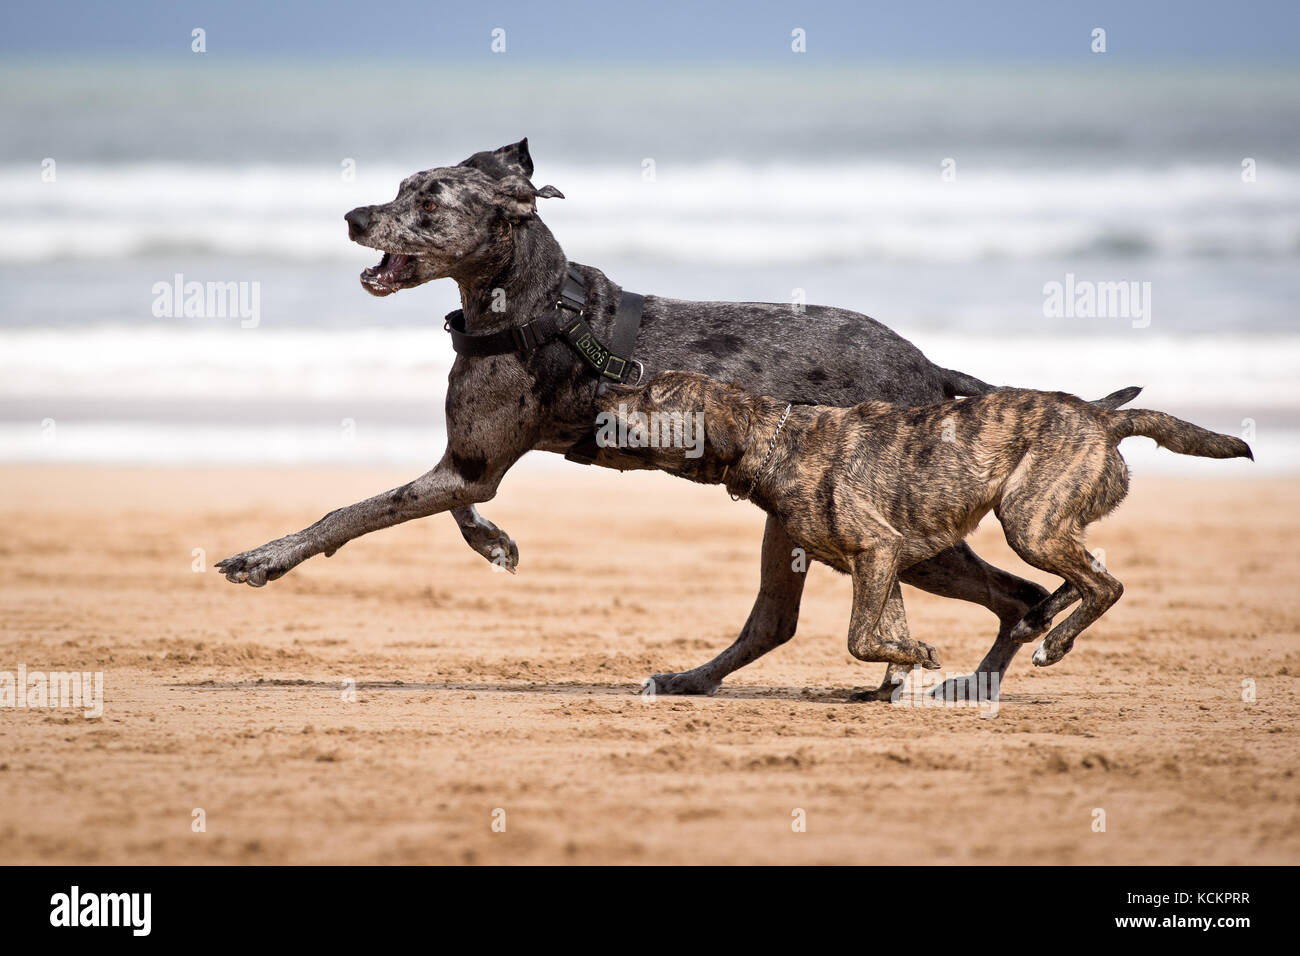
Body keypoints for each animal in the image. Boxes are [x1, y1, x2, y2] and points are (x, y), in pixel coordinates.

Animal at [215, 138, 1066, 697]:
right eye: (399, 187)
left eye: (428, 201)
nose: (354, 218)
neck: (532, 304)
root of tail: (932, 372)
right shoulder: (471, 464)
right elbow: (458, 509)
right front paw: (495, 543)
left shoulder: (467, 467)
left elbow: (351, 513)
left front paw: (265, 557)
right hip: (799, 523)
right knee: (778, 623)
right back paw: (713, 679)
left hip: (889, 531)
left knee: (1019, 595)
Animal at [595, 371, 1248, 697]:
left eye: (651, 396)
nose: (601, 388)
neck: (772, 440)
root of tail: (1105, 419)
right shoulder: (883, 562)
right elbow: (883, 629)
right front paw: (902, 668)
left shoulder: (877, 550)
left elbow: (860, 638)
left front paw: (915, 658)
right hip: (1038, 527)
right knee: (1069, 585)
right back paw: (1037, 626)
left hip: (1028, 521)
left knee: (1104, 585)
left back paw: (1053, 642)